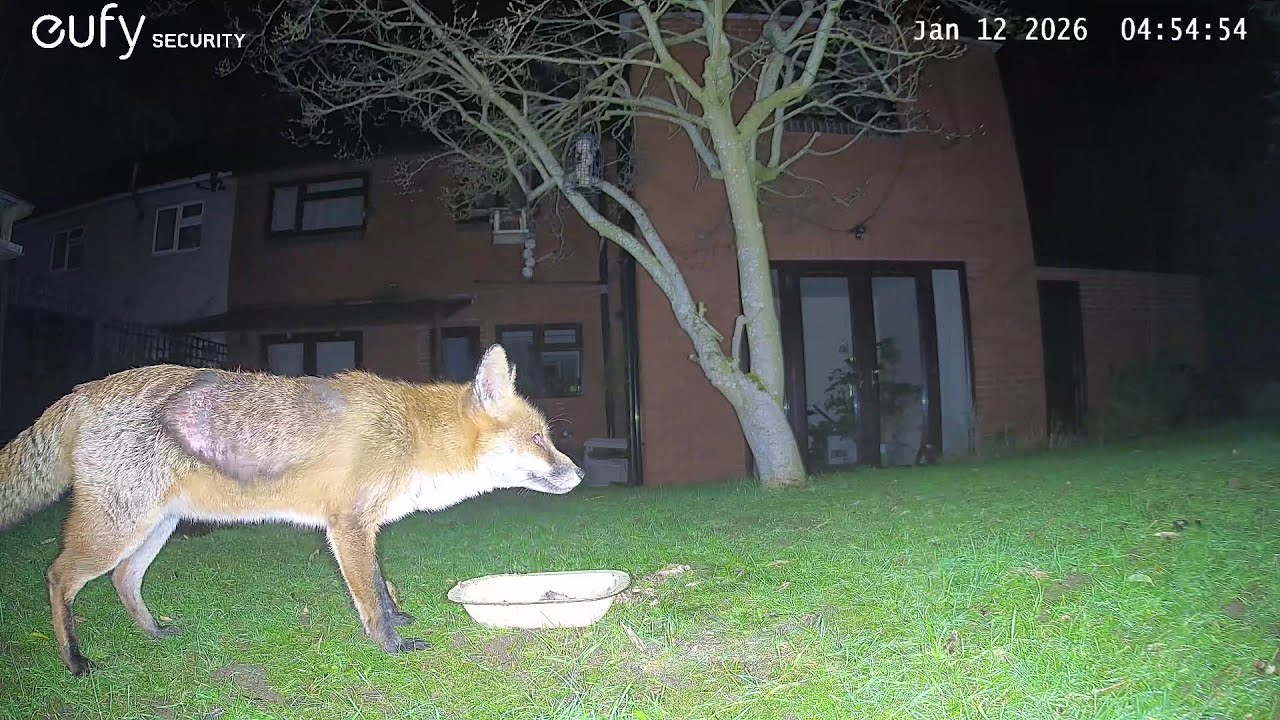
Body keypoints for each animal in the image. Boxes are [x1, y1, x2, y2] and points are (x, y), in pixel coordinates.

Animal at [0, 344, 584, 676]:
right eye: (539, 439)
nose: (578, 474)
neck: (413, 438)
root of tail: (88, 387)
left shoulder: (362, 528)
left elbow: (381, 584)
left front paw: (396, 621)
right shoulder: (347, 524)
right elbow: (371, 598)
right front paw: (391, 645)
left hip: (155, 528)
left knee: (123, 579)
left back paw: (154, 633)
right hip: (115, 529)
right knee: (58, 576)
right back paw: (74, 661)